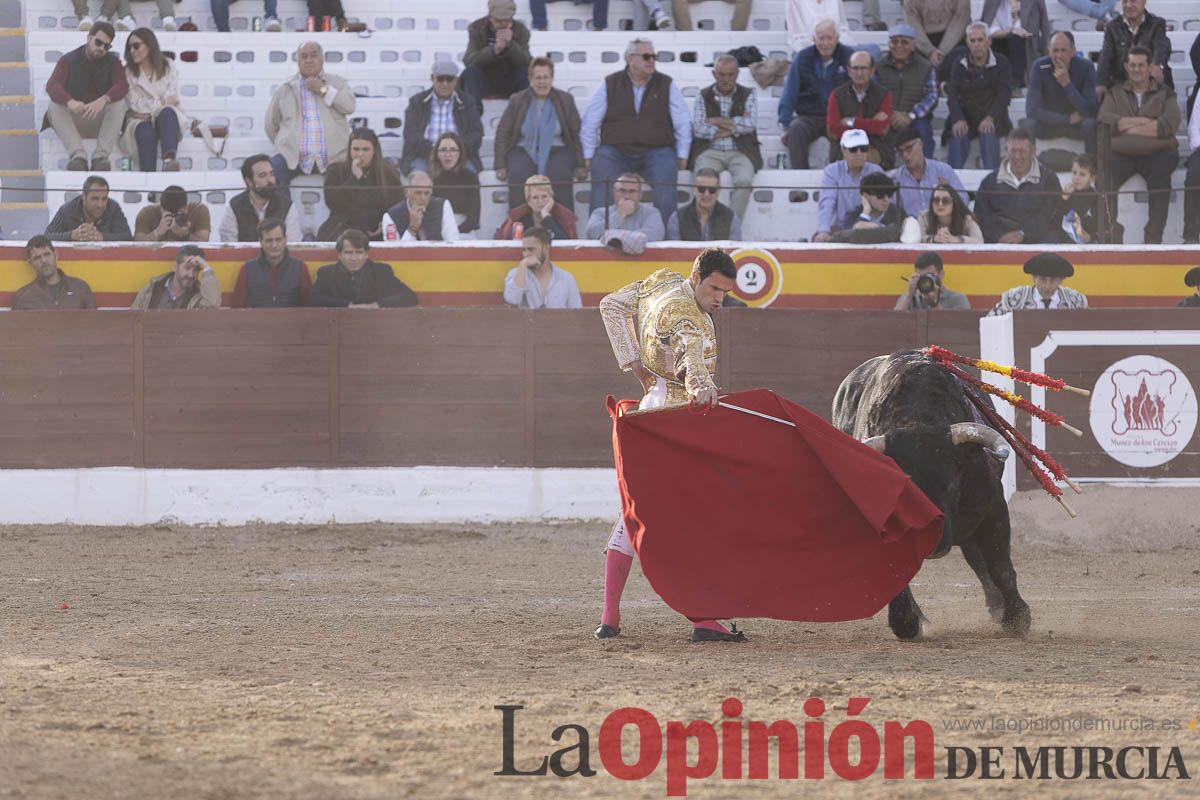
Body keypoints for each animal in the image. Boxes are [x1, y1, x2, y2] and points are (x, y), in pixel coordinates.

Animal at [835, 350, 1032, 638]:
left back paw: (997, 608)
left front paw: (1017, 619)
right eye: (902, 496)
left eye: (951, 484)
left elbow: (999, 565)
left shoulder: (993, 507)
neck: (917, 418)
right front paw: (904, 623)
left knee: (978, 559)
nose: (932, 544)